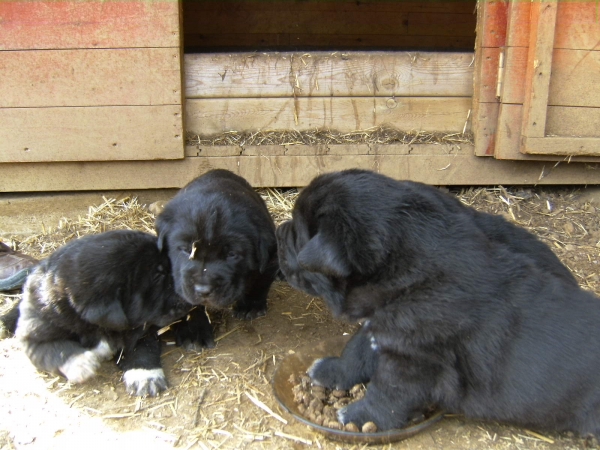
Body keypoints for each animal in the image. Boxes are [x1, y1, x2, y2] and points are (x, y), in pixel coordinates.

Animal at [16, 230, 214, 396]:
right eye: (158, 276)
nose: (188, 287)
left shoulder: (141, 331)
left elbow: (142, 349)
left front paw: (146, 377)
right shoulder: (34, 335)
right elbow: (56, 349)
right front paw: (81, 363)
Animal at [154, 169, 278, 320]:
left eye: (232, 254)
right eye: (186, 250)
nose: (203, 290)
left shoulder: (270, 259)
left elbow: (260, 280)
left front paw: (250, 307)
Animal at [278, 170, 600, 440]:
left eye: (297, 236)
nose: (280, 231)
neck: (406, 274)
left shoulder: (414, 360)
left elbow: (387, 394)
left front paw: (360, 416)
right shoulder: (383, 329)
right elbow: (356, 351)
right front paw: (332, 371)